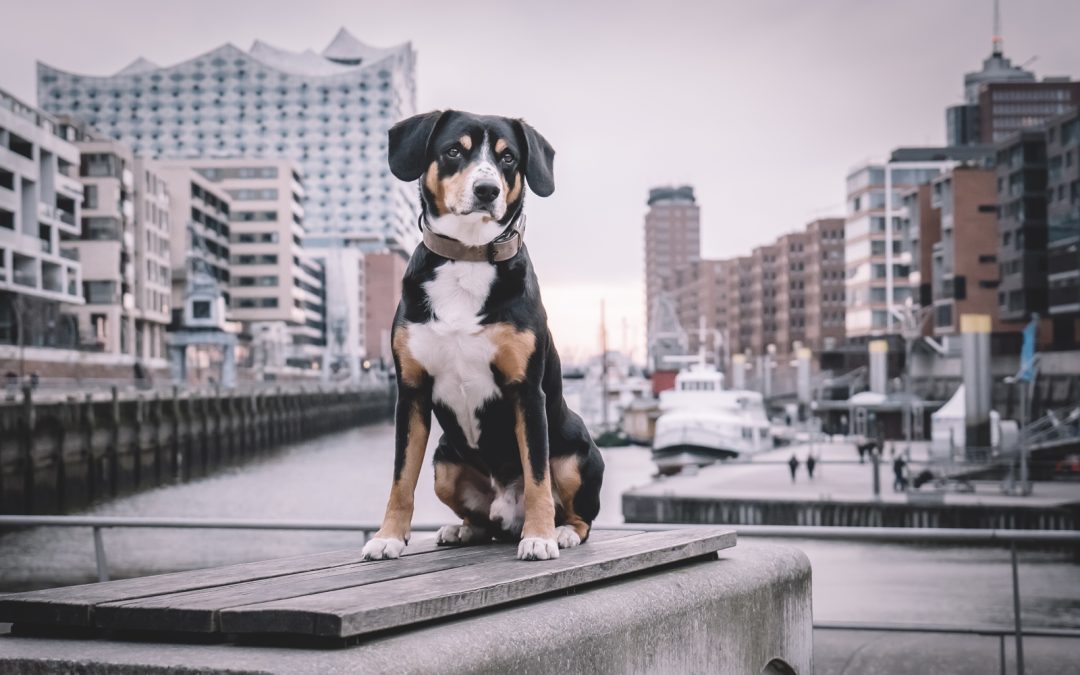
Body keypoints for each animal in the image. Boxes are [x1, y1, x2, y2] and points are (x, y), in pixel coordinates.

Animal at [358, 110, 604, 561]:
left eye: (508, 158)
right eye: (455, 150)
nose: (487, 189)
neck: (468, 256)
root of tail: (506, 511)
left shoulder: (527, 392)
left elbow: (537, 475)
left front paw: (540, 536)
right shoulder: (411, 392)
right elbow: (401, 478)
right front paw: (388, 537)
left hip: (577, 452)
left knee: (579, 514)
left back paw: (560, 531)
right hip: (444, 462)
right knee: (484, 522)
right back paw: (462, 529)